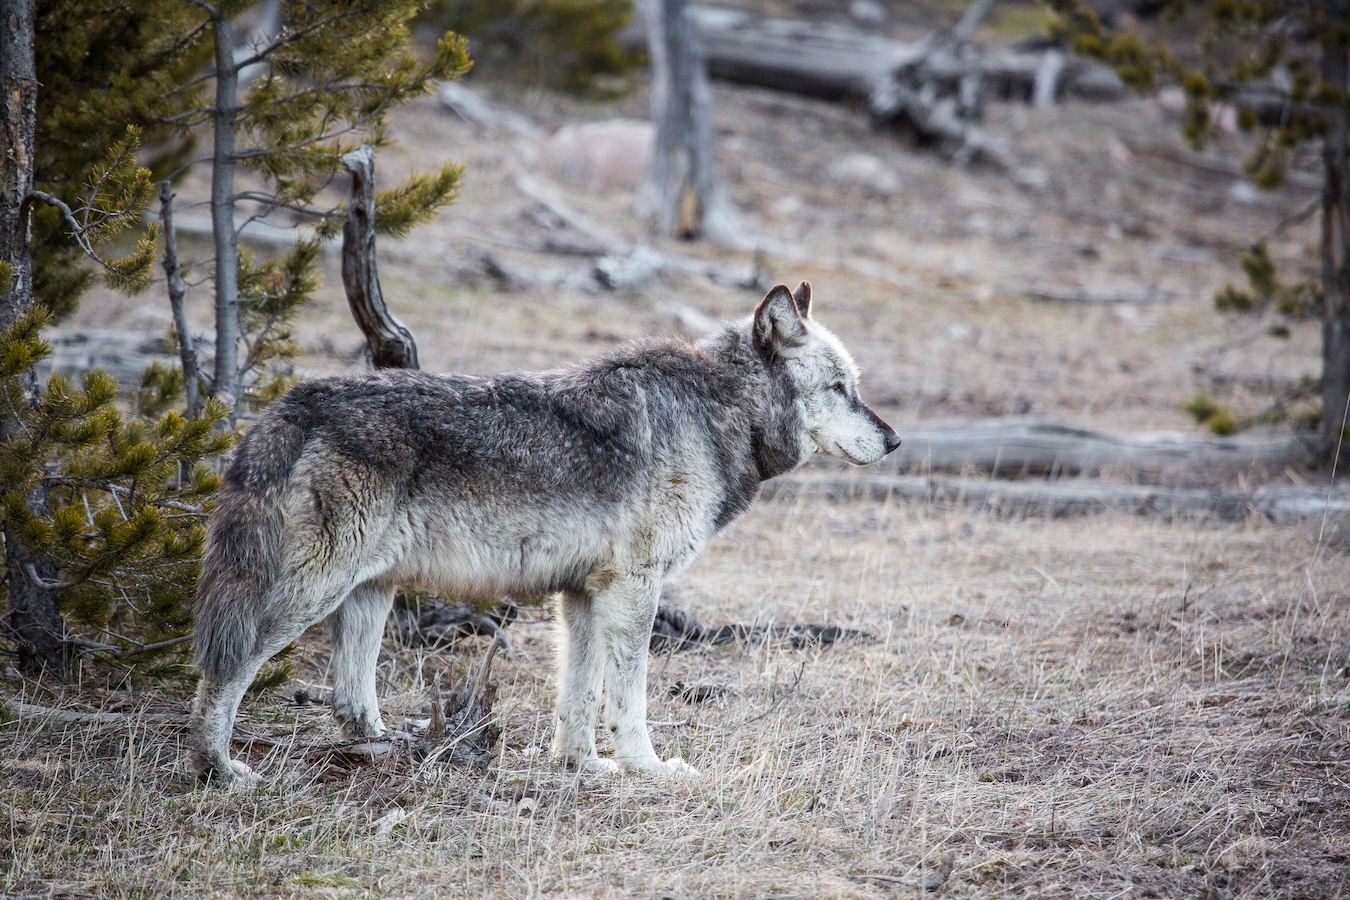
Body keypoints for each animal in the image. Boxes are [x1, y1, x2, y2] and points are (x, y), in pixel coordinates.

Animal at [189, 282, 900, 784]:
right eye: (840, 388)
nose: (894, 441)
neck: (717, 410)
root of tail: (290, 403)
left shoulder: (582, 595)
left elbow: (577, 698)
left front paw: (582, 766)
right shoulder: (634, 589)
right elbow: (628, 697)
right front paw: (648, 768)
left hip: (369, 594)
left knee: (348, 700)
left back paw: (389, 751)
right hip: (312, 594)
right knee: (224, 668)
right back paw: (218, 769)